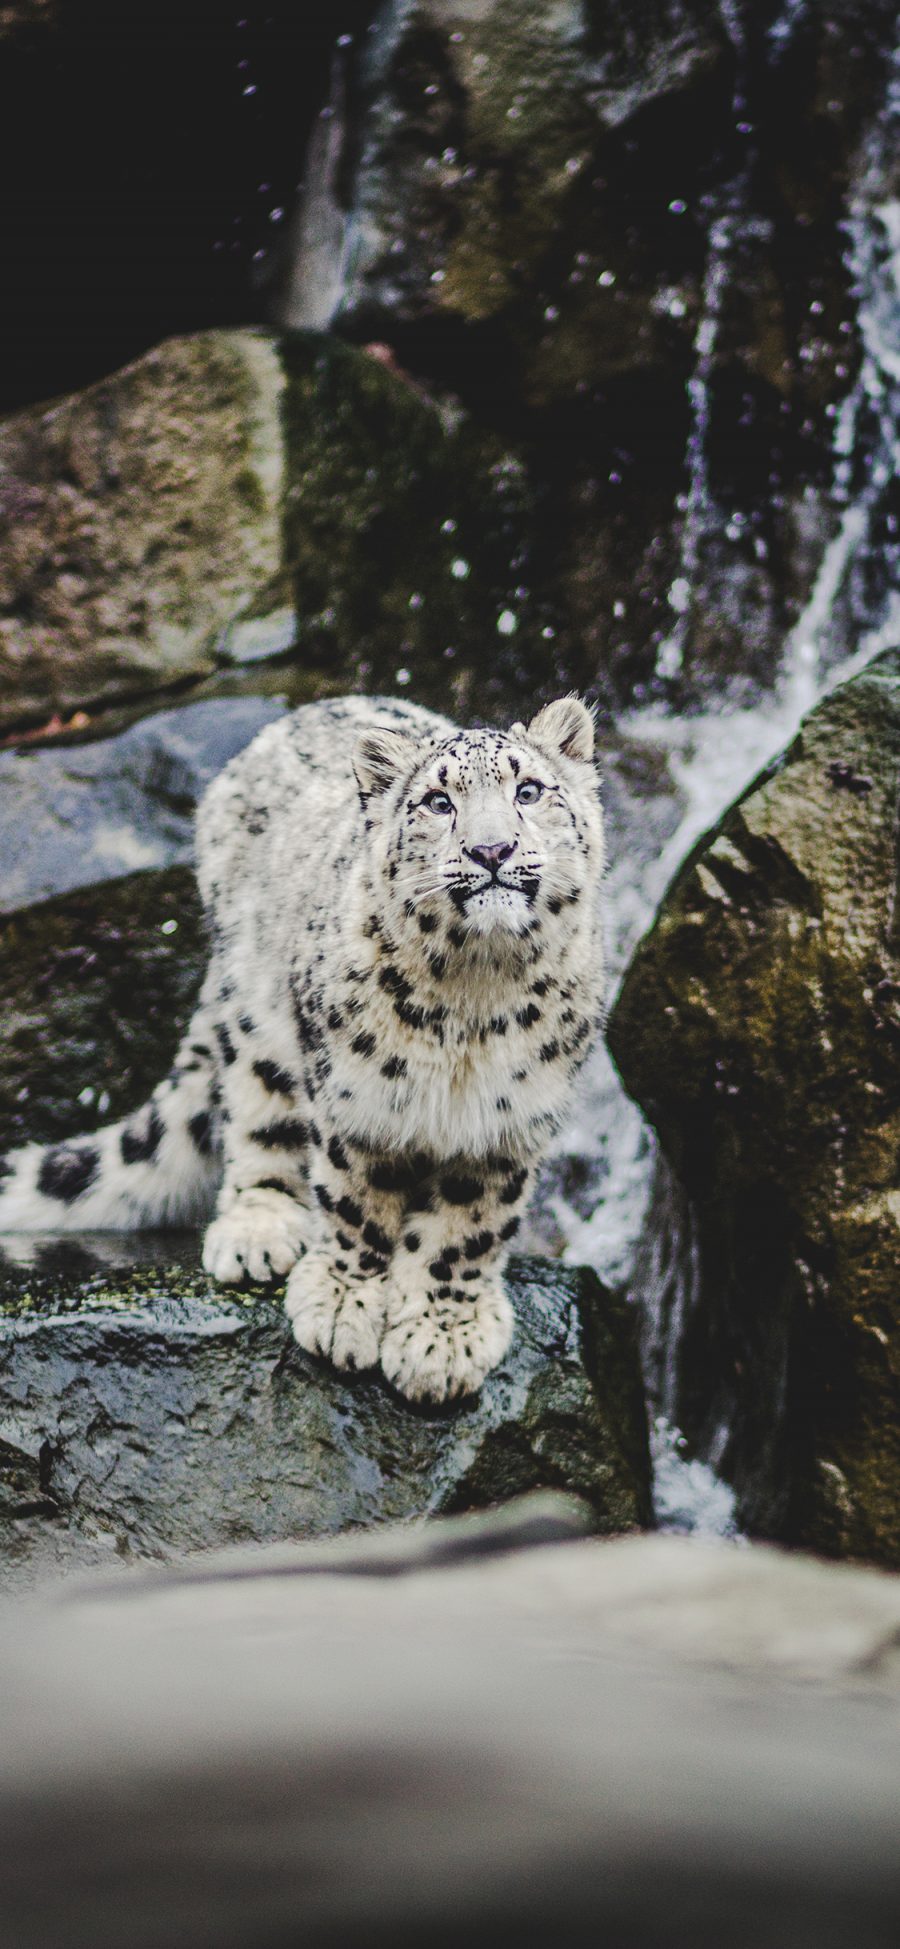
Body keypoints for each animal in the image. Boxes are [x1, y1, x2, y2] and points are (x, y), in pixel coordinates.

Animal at [1, 697, 603, 1403]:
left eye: (529, 791)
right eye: (437, 802)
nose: (491, 849)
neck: (474, 999)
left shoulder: (508, 1121)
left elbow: (469, 1228)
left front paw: (442, 1338)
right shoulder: (357, 1094)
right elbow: (357, 1198)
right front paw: (344, 1305)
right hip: (257, 1017)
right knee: (256, 1116)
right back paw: (257, 1231)